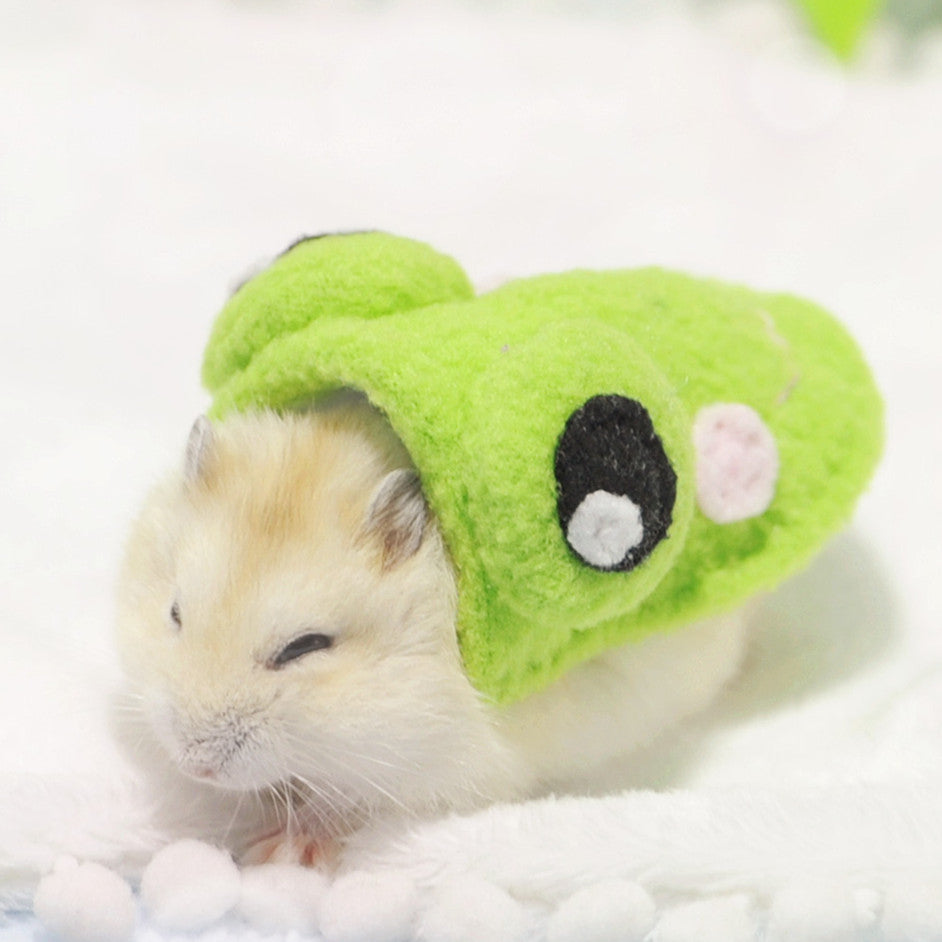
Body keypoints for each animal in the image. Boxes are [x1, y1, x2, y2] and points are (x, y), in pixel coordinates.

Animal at [115, 395, 747, 864]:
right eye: (175, 614)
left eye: (305, 647)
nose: (194, 763)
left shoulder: (453, 766)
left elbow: (350, 801)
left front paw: (277, 849)